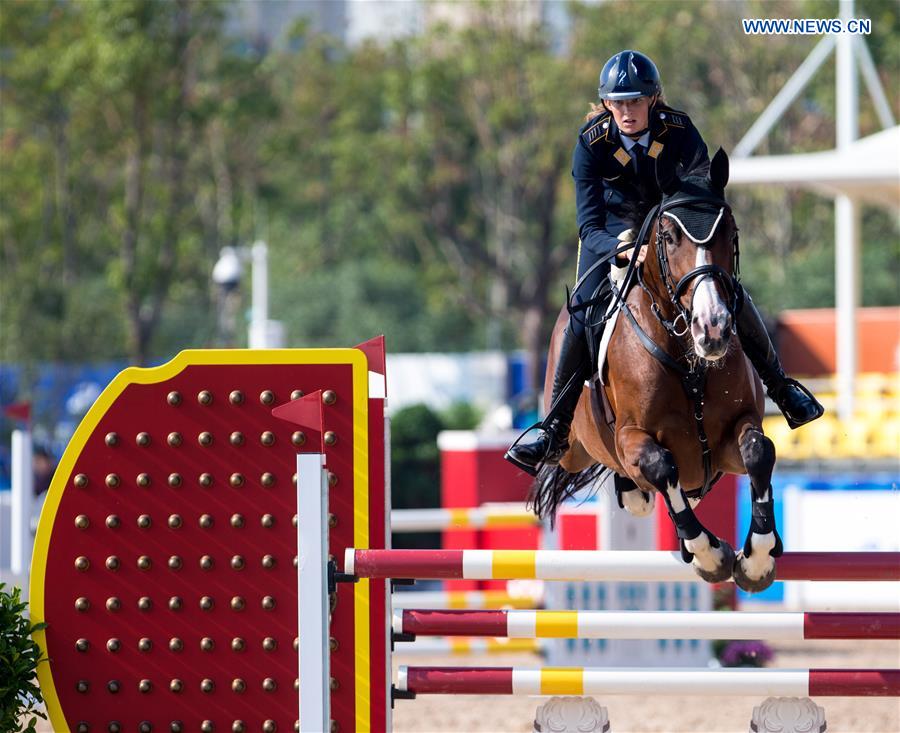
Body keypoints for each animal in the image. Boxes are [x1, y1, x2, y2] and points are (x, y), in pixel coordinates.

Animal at [536, 149, 780, 596]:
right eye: (667, 237)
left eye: (730, 231)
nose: (712, 327)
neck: (687, 357)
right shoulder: (633, 438)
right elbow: (661, 466)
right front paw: (708, 556)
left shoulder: (733, 435)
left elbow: (758, 452)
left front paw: (756, 561)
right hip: (573, 450)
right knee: (630, 481)